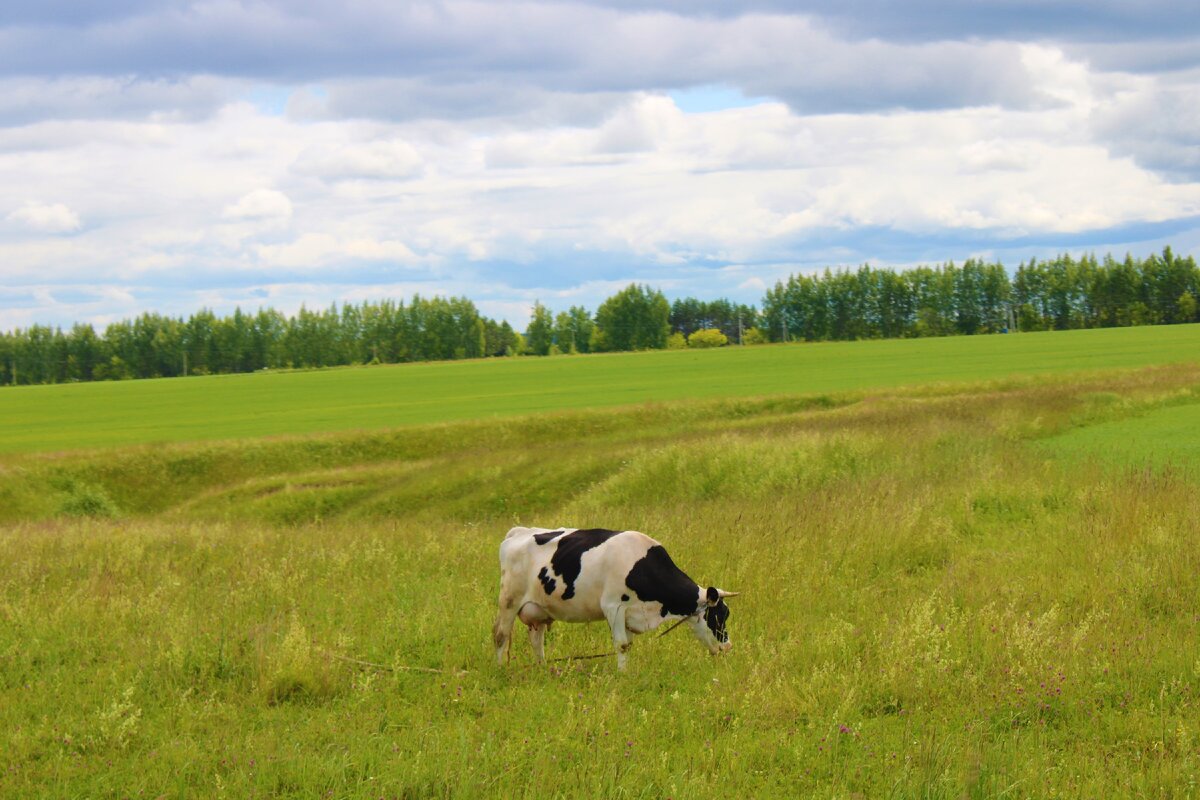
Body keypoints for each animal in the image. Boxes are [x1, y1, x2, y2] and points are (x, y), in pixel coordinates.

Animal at [492, 525, 734, 671]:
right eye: (717, 617)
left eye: (726, 614)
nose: (728, 647)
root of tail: (519, 531)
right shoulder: (613, 606)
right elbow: (622, 645)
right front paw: (623, 674)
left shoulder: (631, 614)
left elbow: (628, 644)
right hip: (509, 601)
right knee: (501, 635)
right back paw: (500, 669)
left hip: (538, 608)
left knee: (536, 640)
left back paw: (544, 669)